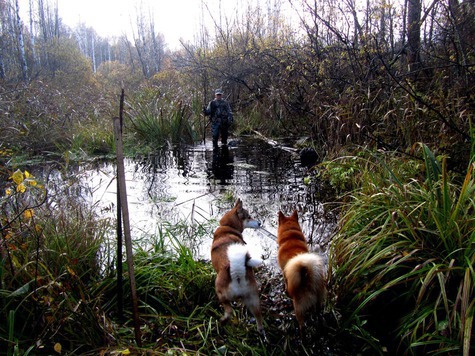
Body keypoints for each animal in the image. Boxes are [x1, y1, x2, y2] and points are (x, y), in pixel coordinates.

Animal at [211, 199, 266, 336]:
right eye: (249, 216)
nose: (259, 223)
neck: (228, 228)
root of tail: (237, 272)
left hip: (220, 292)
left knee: (229, 311)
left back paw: (223, 320)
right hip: (253, 299)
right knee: (259, 318)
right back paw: (261, 332)